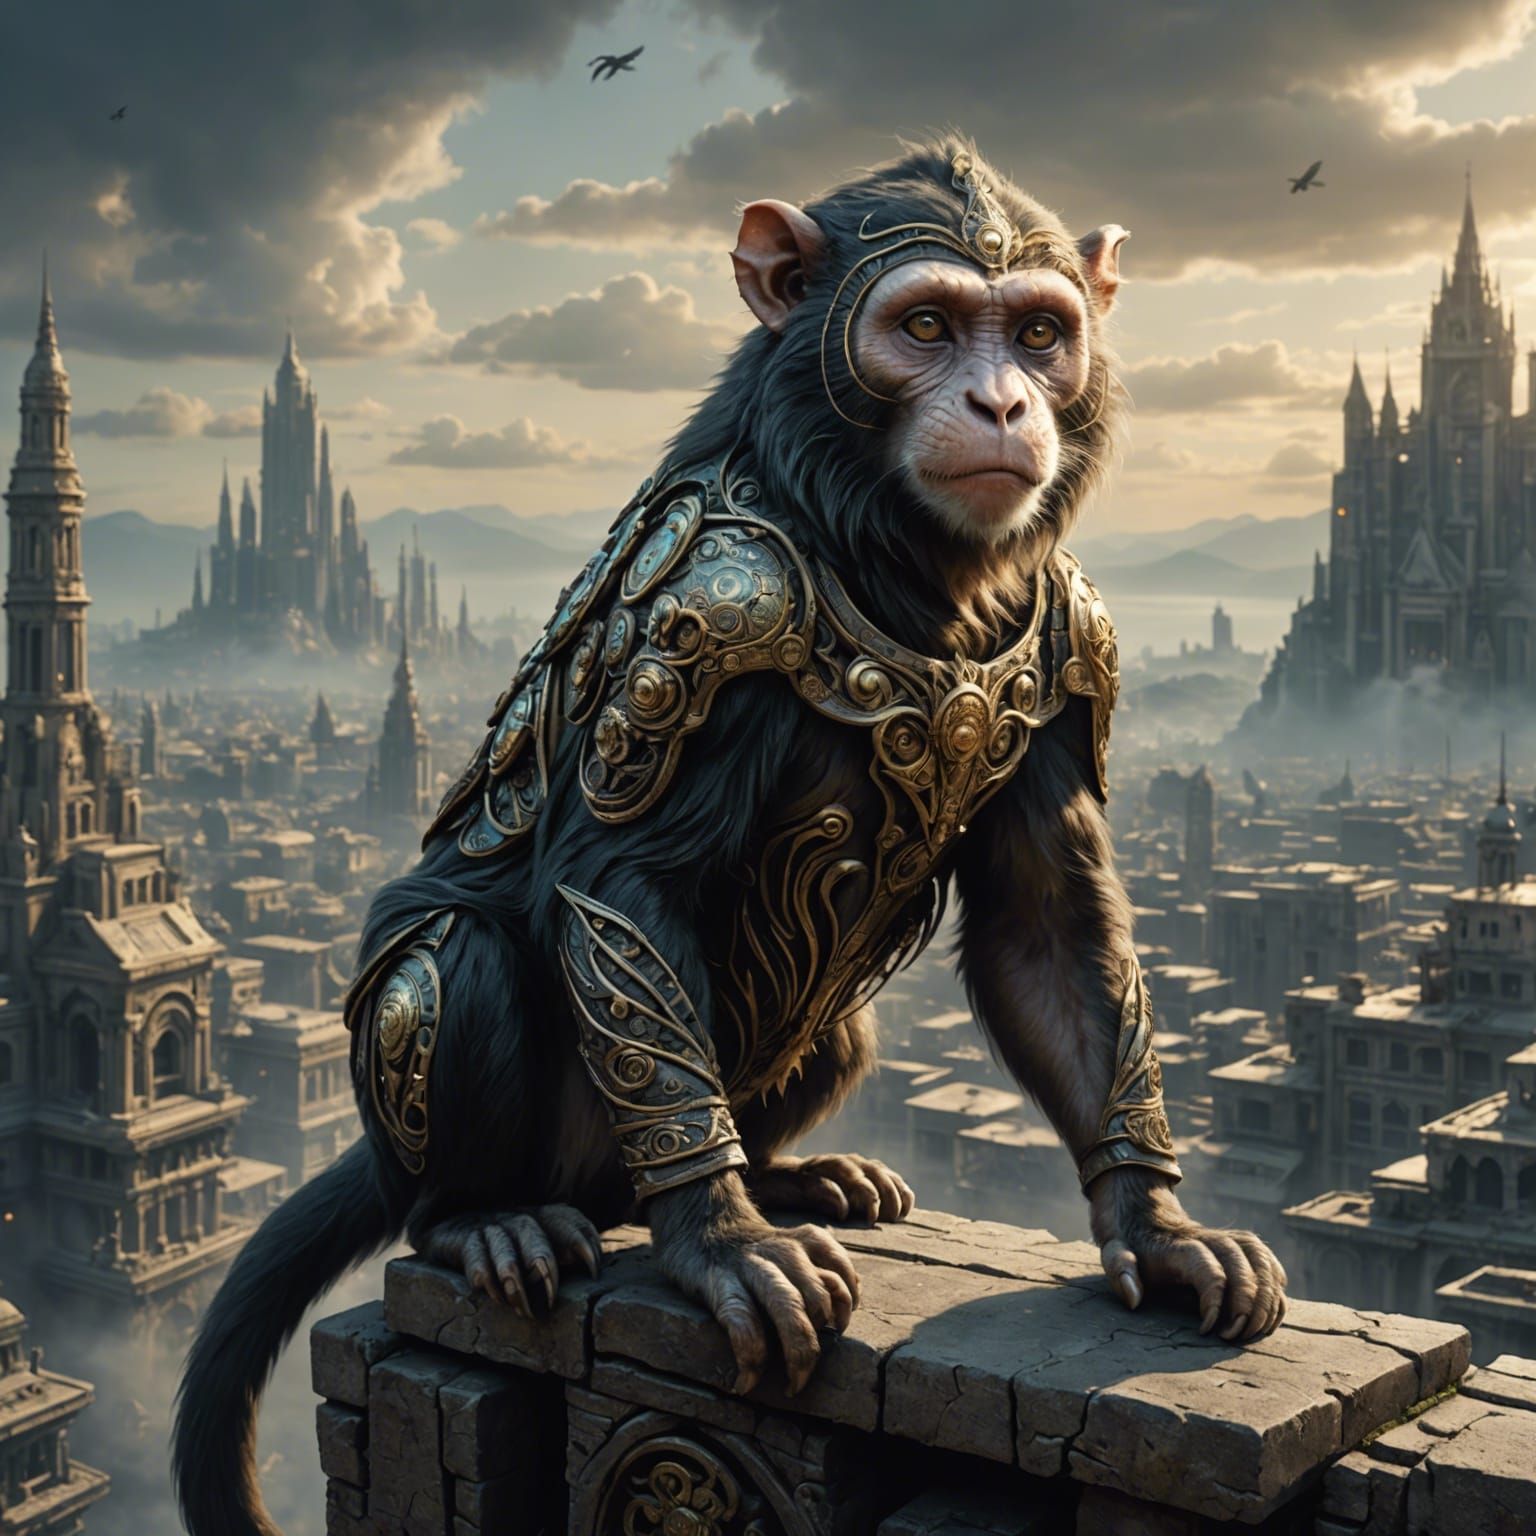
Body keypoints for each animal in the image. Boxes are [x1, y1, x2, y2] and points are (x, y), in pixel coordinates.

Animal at [173, 136, 1287, 1536]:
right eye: (925, 327)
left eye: (1041, 333)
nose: (1001, 406)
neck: (895, 552)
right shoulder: (717, 602)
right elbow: (618, 885)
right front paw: (726, 1242)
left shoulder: (1068, 630)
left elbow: (1050, 924)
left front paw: (1155, 1226)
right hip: (465, 1111)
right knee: (444, 973)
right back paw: (488, 1221)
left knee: (834, 1029)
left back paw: (793, 1175)